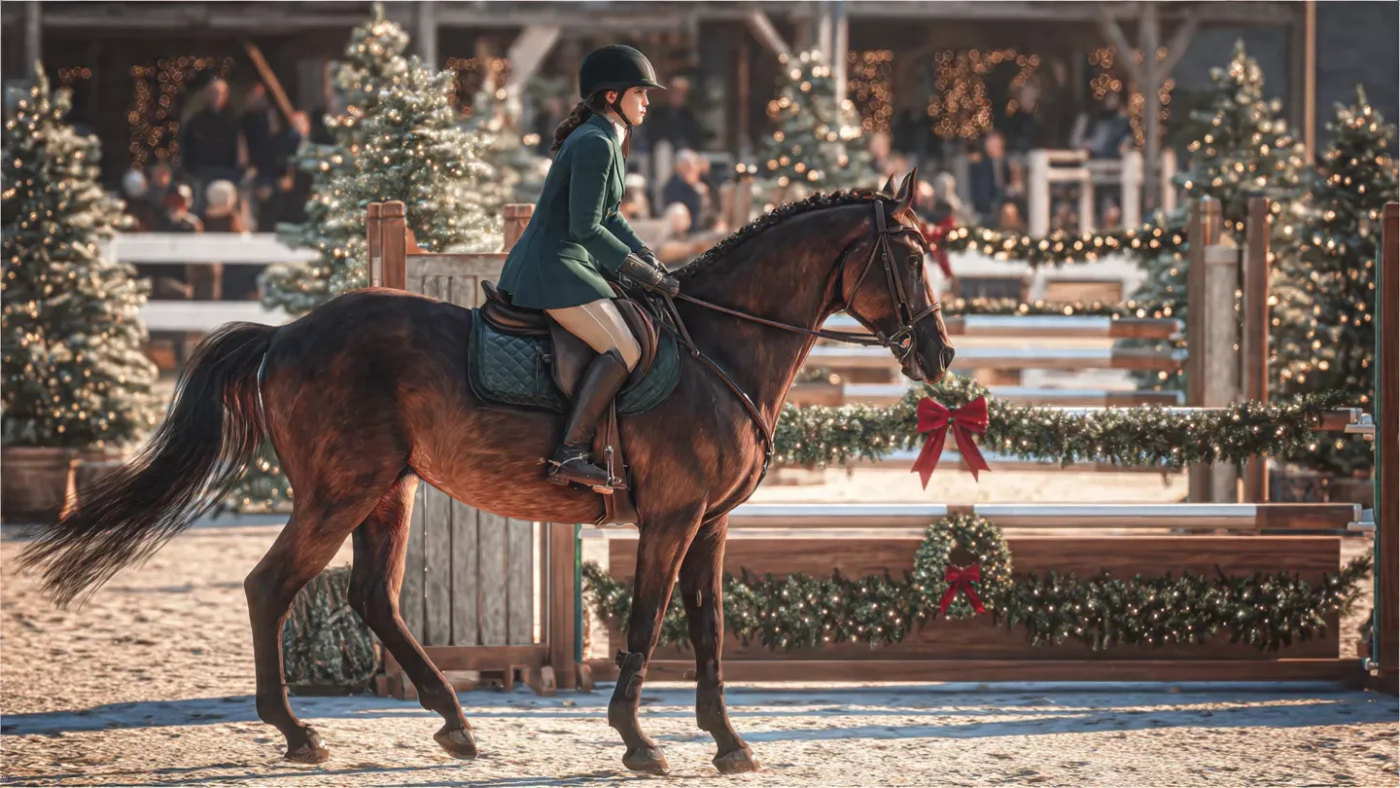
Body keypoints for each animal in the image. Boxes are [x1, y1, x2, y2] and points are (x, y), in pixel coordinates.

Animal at [18, 171, 953, 775]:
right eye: (909, 257)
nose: (940, 354)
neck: (719, 346)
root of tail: (284, 335)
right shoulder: (671, 518)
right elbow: (649, 627)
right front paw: (639, 742)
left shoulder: (711, 524)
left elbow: (712, 633)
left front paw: (729, 744)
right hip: (339, 492)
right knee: (269, 585)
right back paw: (298, 732)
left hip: (387, 492)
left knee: (373, 598)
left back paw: (456, 724)